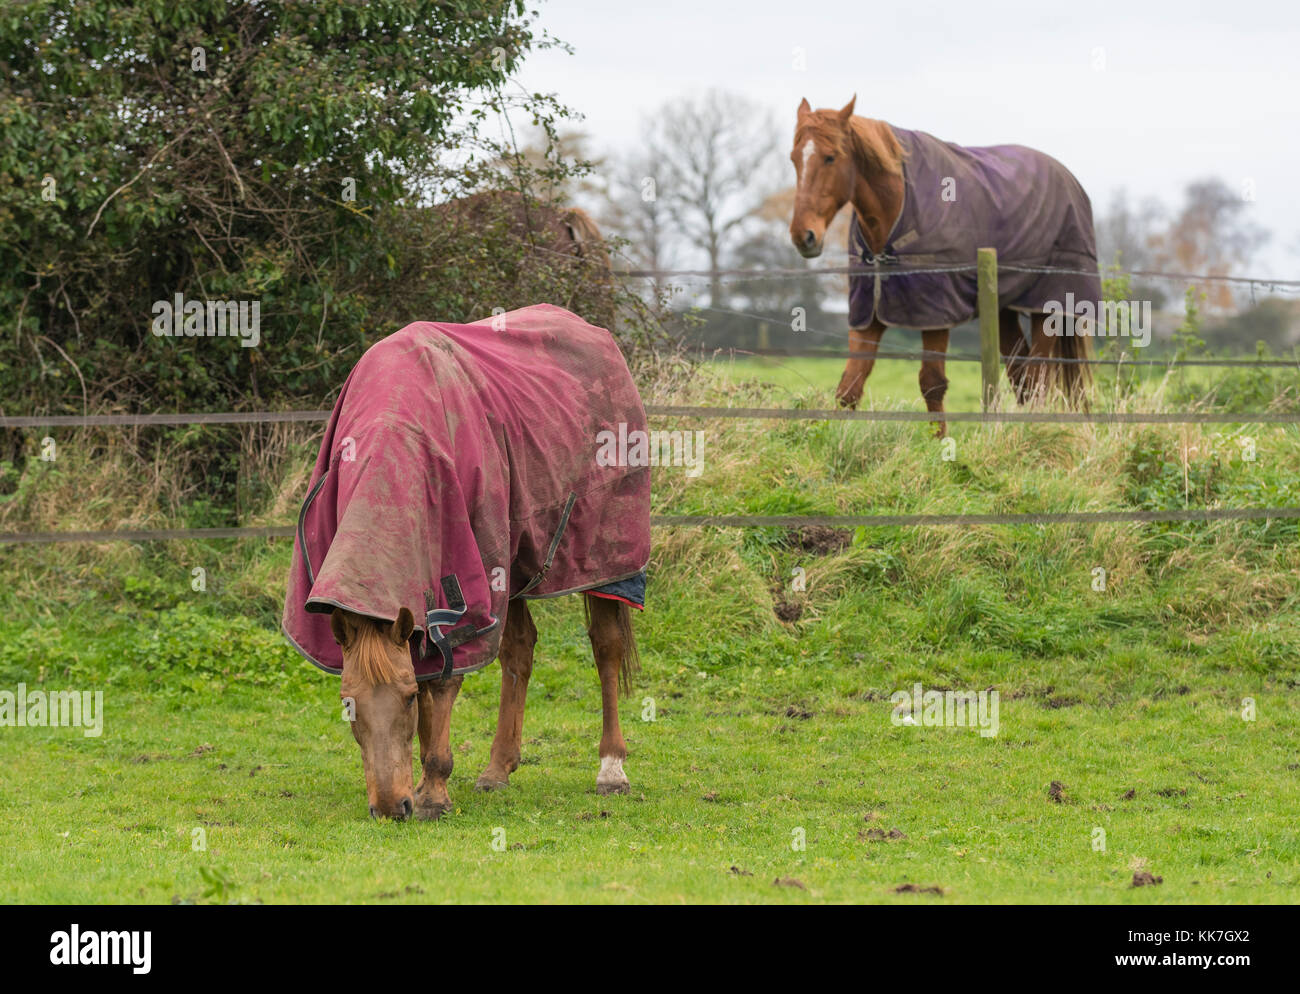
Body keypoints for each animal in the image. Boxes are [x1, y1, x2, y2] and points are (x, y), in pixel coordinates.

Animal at [785, 92, 1102, 418]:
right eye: (794, 158)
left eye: (830, 157)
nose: (803, 235)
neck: (896, 210)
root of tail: (1069, 179)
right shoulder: (868, 314)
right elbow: (849, 387)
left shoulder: (935, 315)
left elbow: (932, 383)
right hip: (1003, 309)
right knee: (1022, 377)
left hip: (1047, 307)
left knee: (1038, 377)